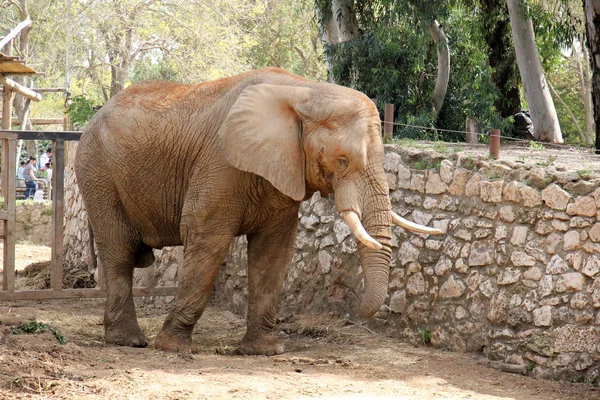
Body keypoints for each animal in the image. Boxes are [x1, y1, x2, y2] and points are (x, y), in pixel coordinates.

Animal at [76, 67, 440, 354]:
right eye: (342, 161)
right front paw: (172, 347)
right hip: (98, 173)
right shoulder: (219, 161)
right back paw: (130, 341)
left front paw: (265, 351)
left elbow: (273, 250)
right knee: (119, 251)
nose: (354, 313)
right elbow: (206, 239)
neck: (305, 91)